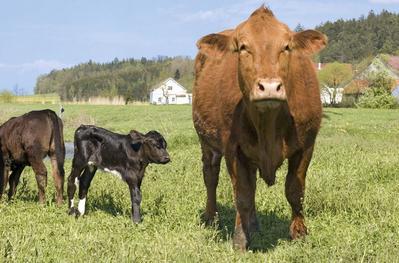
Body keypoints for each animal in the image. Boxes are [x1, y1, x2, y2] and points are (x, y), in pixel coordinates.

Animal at [193, 5, 328, 250]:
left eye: (287, 46)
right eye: (243, 47)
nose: (270, 87)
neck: (269, 125)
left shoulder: (307, 145)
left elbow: (295, 191)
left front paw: (299, 233)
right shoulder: (233, 149)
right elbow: (243, 196)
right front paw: (240, 240)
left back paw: (253, 225)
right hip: (207, 143)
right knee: (211, 176)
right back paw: (211, 217)